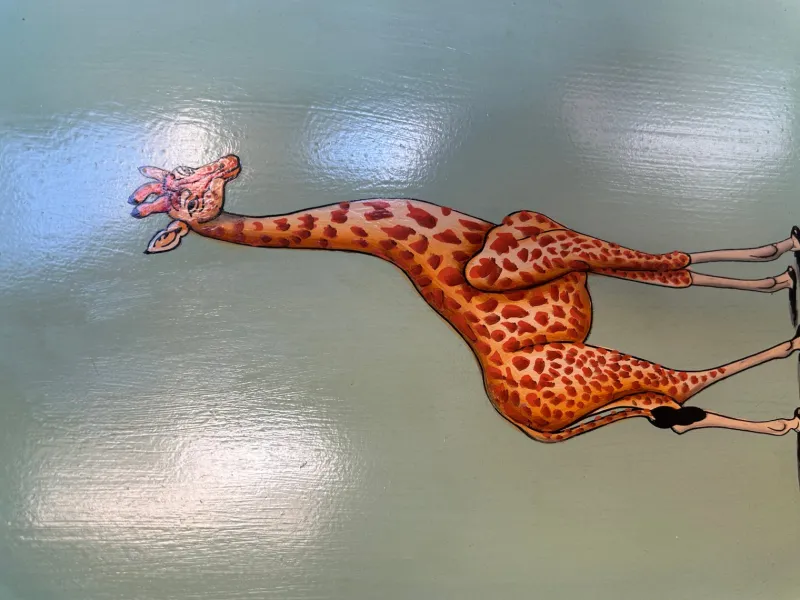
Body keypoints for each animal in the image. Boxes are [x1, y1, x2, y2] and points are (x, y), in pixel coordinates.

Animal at [129, 154, 800, 443]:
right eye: (188, 197)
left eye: (190, 178)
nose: (231, 159)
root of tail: (526, 422)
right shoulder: (540, 246)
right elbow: (672, 264)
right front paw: (786, 262)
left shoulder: (561, 250)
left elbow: (666, 268)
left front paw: (779, 265)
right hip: (607, 368)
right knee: (685, 389)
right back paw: (791, 384)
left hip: (614, 390)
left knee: (674, 410)